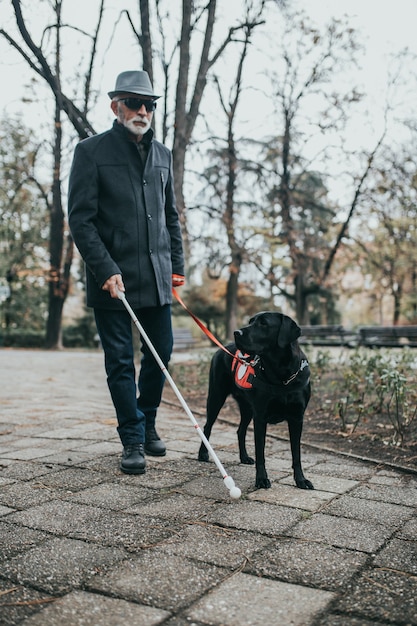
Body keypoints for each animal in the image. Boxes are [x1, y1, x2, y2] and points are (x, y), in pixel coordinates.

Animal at [197, 310, 312, 488]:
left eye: (263, 323)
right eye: (251, 321)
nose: (236, 332)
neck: (281, 376)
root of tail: (222, 348)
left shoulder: (297, 418)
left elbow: (296, 454)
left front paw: (301, 480)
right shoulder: (261, 418)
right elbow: (260, 454)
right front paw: (262, 479)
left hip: (247, 408)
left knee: (240, 431)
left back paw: (244, 457)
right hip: (216, 397)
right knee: (207, 426)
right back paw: (203, 453)